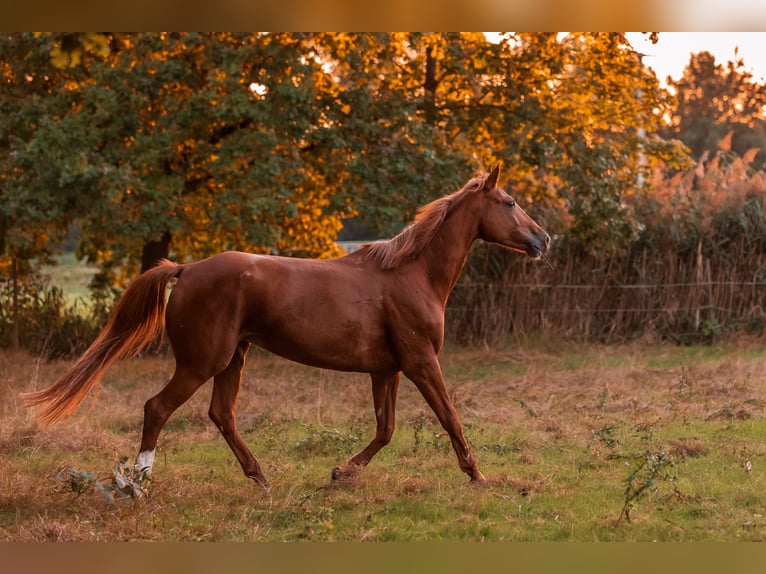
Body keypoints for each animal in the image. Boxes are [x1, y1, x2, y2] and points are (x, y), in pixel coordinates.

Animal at [21, 165, 548, 486]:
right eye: (508, 201)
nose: (544, 239)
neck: (410, 274)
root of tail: (186, 269)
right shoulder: (421, 362)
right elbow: (449, 418)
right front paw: (479, 477)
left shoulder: (387, 370)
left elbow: (386, 430)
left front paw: (341, 474)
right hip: (201, 361)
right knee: (157, 408)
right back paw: (140, 482)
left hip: (234, 358)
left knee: (222, 414)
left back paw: (260, 477)